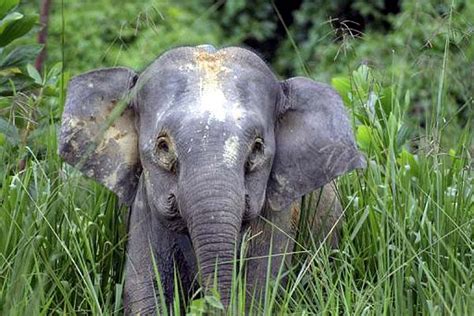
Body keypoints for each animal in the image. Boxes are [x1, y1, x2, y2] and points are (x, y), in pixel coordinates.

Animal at [58, 44, 362, 314]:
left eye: (257, 148)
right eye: (163, 146)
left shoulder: (278, 212)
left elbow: (260, 291)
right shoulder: (145, 205)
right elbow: (144, 292)